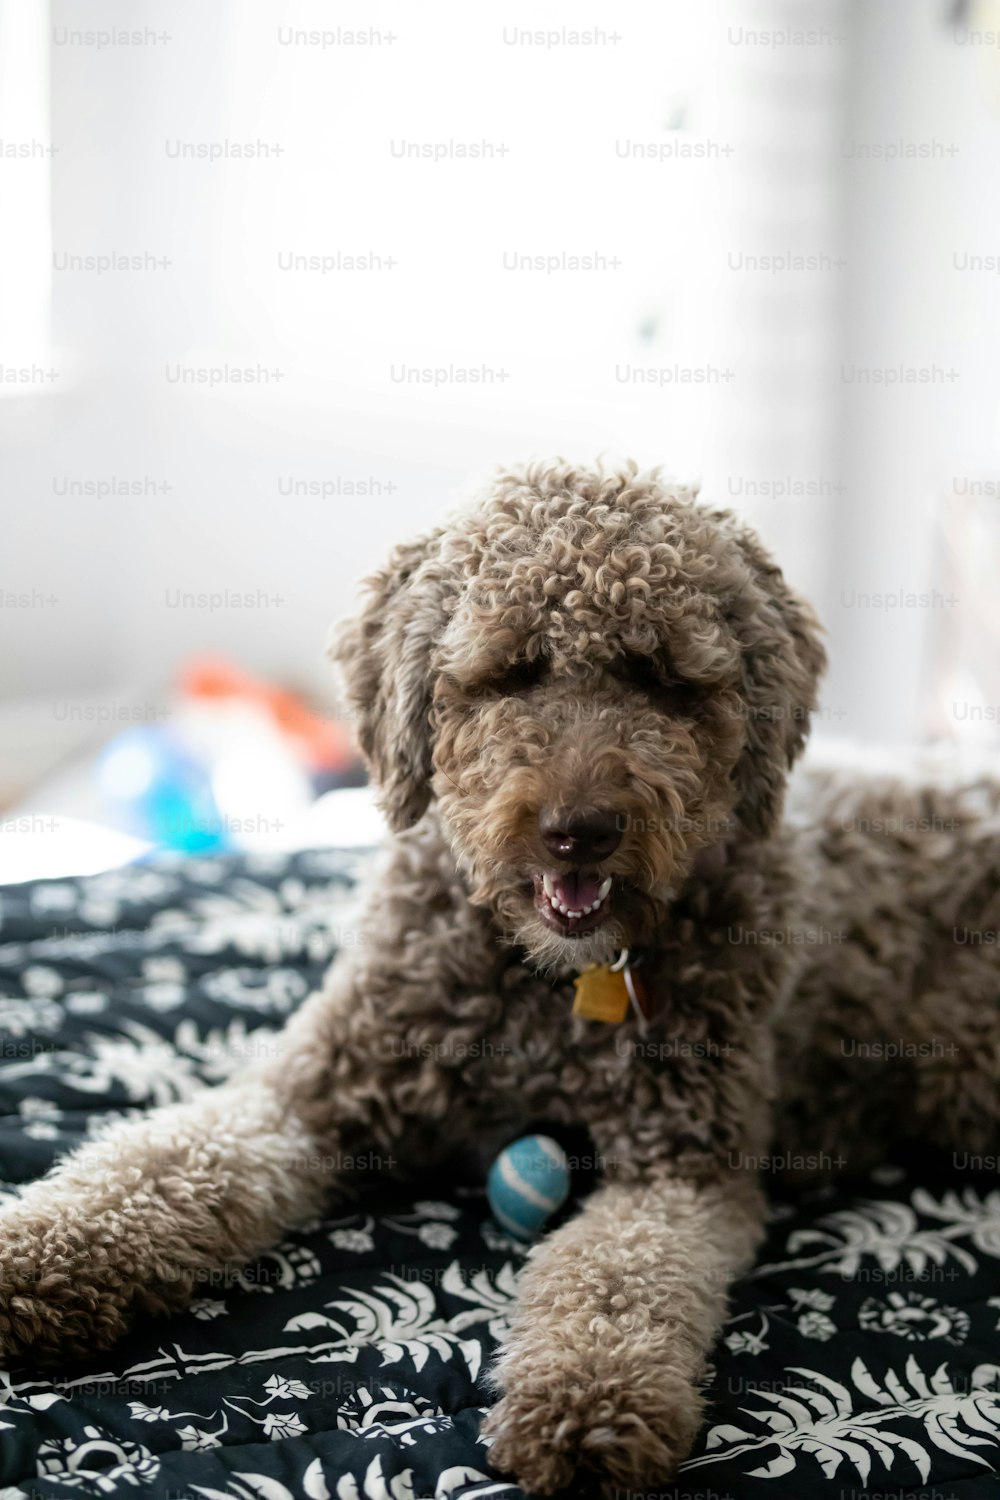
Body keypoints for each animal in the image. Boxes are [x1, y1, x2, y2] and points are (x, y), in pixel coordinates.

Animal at [1, 462, 1000, 1494]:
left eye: (663, 679)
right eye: (511, 670)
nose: (580, 830)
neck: (547, 984)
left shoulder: (681, 1172)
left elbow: (616, 1281)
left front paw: (587, 1410)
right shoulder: (309, 1093)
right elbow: (161, 1164)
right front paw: (39, 1253)